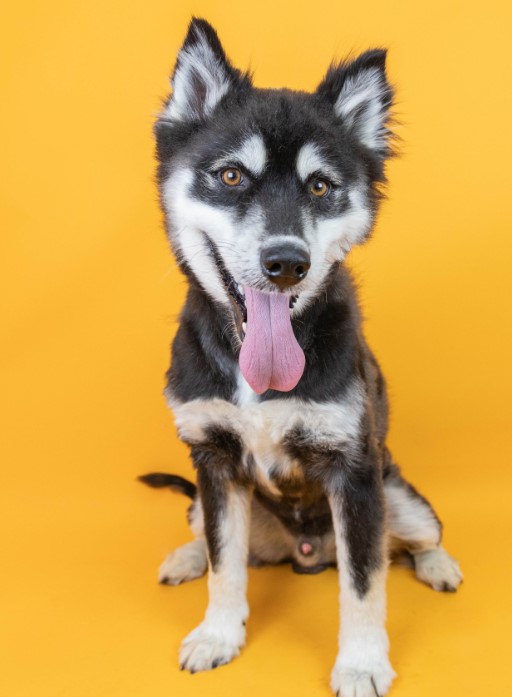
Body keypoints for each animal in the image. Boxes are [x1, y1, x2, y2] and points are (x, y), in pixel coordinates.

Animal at [142, 17, 462, 696]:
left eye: (320, 186)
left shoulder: (356, 476)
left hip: (400, 496)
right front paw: (218, 633)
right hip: (203, 499)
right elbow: (225, 563)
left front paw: (362, 663)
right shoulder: (213, 463)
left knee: (419, 538)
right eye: (232, 176)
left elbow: (365, 583)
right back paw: (186, 556)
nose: (286, 263)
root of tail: (303, 554)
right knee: (215, 541)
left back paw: (438, 565)